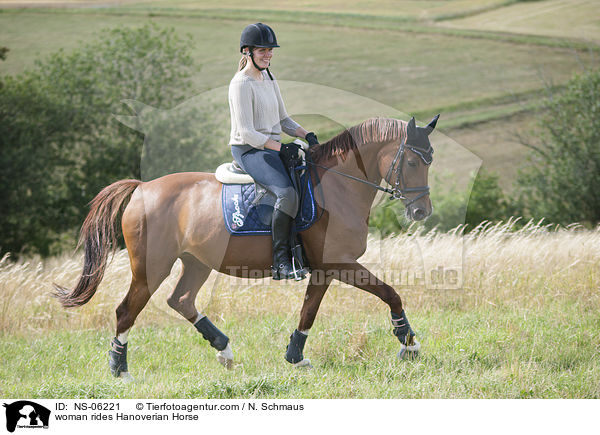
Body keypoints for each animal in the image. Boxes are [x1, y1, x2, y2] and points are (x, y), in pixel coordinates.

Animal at [55, 116, 436, 382]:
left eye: (429, 161)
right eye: (412, 163)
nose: (422, 211)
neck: (337, 186)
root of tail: (141, 188)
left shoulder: (326, 269)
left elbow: (308, 312)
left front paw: (295, 356)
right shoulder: (339, 263)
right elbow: (390, 293)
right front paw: (409, 342)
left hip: (196, 262)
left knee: (181, 300)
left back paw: (224, 350)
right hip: (152, 267)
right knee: (126, 312)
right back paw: (120, 369)